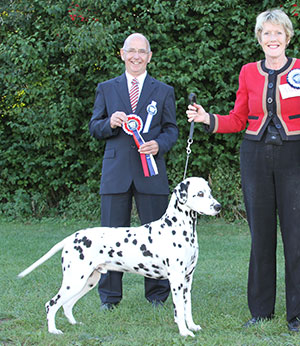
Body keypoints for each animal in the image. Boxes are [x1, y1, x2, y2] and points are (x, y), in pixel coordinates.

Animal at [18, 178, 220, 338]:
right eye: (200, 193)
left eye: (209, 192)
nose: (218, 207)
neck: (177, 227)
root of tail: (72, 237)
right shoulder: (176, 279)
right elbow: (179, 309)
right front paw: (184, 332)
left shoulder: (187, 279)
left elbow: (187, 307)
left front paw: (192, 326)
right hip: (74, 280)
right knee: (51, 304)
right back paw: (53, 330)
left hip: (87, 281)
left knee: (67, 305)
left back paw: (75, 324)